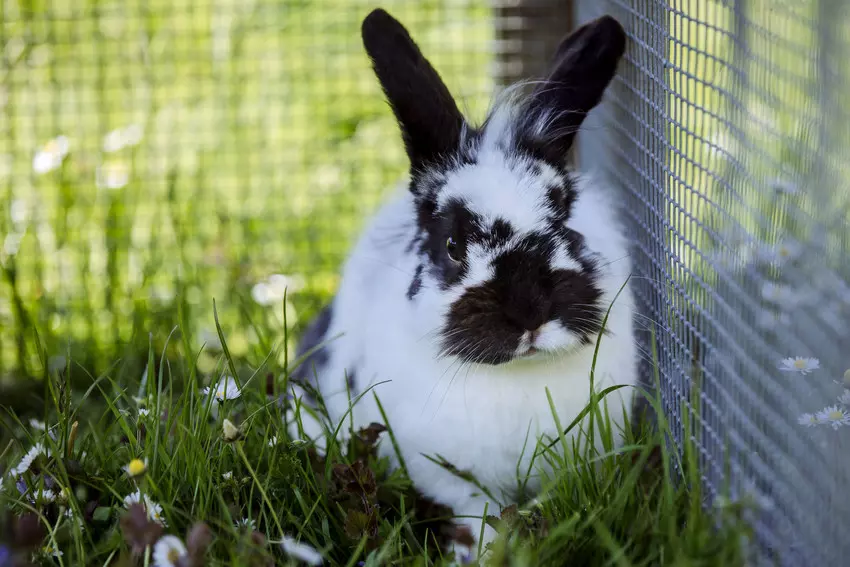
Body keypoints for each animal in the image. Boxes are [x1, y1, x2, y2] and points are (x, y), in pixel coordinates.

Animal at [285, 7, 637, 557]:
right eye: (452, 245)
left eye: (563, 216)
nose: (529, 312)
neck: (515, 375)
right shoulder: (442, 474)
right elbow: (478, 513)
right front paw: (484, 552)